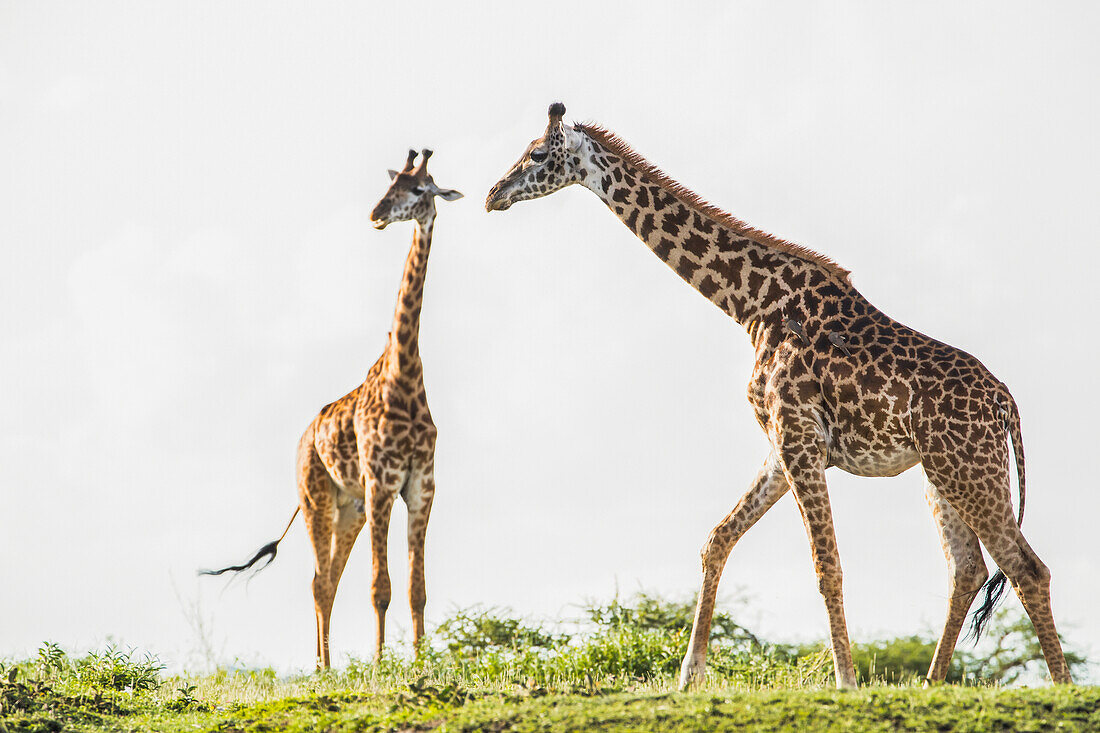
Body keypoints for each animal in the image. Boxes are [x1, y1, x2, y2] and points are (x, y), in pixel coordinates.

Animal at [204, 148, 462, 669]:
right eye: (391, 186)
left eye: (419, 189)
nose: (376, 214)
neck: (405, 378)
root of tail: (303, 439)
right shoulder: (382, 483)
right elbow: (380, 588)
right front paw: (382, 666)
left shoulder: (421, 487)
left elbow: (416, 590)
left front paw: (421, 663)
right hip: (316, 498)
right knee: (320, 582)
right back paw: (325, 668)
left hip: (350, 509)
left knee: (328, 580)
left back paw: (327, 664)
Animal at [486, 101, 1069, 686]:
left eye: (536, 154)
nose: (494, 193)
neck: (751, 305)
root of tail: (1005, 404)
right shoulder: (781, 444)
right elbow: (717, 539)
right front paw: (689, 675)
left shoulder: (798, 437)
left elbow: (826, 567)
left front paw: (845, 682)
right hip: (942, 474)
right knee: (967, 568)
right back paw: (930, 684)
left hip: (969, 469)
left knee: (1027, 568)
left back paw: (1060, 687)